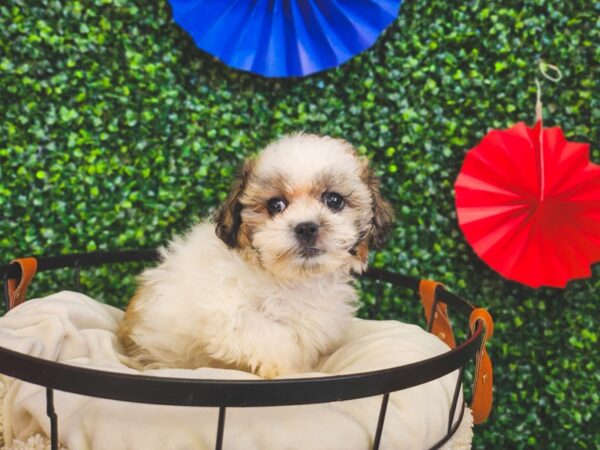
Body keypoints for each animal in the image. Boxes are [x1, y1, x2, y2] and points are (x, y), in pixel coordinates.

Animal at [119, 133, 396, 376]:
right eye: (276, 205)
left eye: (334, 200)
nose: (306, 227)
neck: (290, 281)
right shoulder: (226, 311)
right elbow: (269, 335)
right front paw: (290, 371)